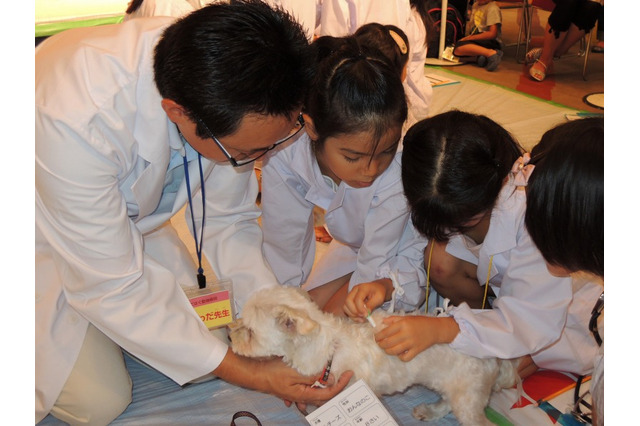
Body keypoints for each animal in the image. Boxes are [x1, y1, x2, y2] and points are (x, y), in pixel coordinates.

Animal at [230, 284, 520, 424]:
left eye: (250, 331)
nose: (230, 336)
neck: (329, 348)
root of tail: (495, 355)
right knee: (448, 402)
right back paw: (430, 412)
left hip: (467, 395)